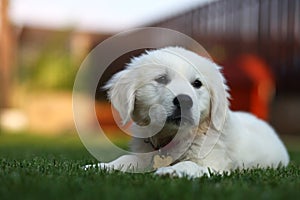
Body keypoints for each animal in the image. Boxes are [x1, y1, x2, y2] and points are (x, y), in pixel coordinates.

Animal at [86, 47, 288, 178]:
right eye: (161, 79)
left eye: (197, 83)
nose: (184, 100)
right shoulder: (146, 155)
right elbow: (126, 158)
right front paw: (100, 166)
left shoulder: (213, 163)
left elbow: (191, 164)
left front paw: (172, 171)